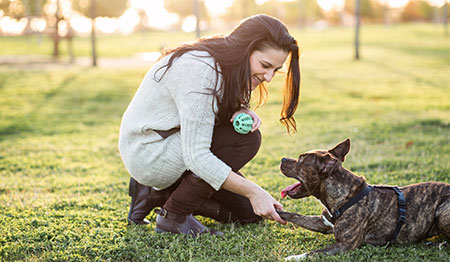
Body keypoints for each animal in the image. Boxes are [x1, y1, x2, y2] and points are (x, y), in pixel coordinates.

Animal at [278, 138, 450, 258]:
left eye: (300, 160)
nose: (282, 159)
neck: (344, 196)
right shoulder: (322, 223)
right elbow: (295, 216)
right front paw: (275, 211)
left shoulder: (345, 245)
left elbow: (314, 252)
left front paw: (293, 257)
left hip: (443, 212)